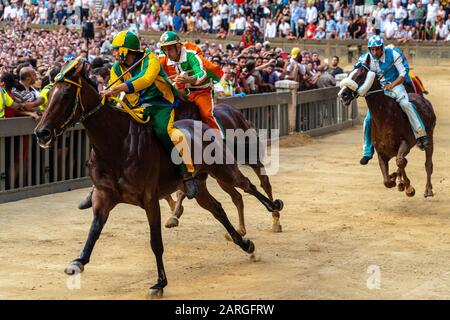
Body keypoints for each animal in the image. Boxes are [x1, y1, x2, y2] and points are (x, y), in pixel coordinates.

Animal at [33, 57, 284, 298]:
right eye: (49, 94)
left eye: (65, 94)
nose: (41, 132)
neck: (117, 145)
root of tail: (204, 125)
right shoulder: (103, 196)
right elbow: (94, 231)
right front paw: (78, 262)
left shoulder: (150, 199)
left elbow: (156, 242)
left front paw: (160, 283)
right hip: (201, 184)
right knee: (219, 209)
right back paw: (245, 243)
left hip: (225, 168)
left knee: (249, 185)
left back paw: (274, 209)